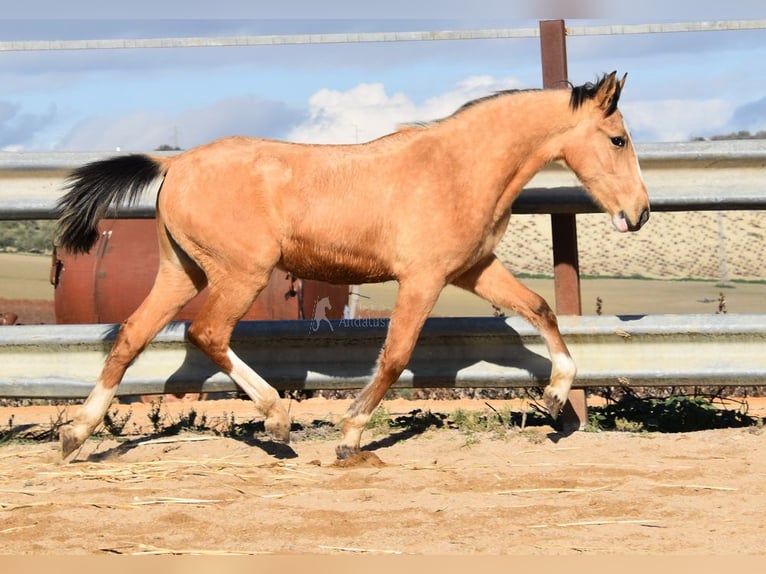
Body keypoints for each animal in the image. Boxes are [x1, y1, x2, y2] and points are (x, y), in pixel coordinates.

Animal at [57, 70, 652, 462]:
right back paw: (277, 420)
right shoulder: (423, 278)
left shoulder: (474, 268)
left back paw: (75, 436)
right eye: (618, 139)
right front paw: (349, 435)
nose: (640, 213)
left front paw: (554, 396)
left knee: (132, 335)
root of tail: (175, 164)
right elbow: (395, 356)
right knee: (207, 332)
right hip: (240, 274)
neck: (458, 168)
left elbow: (540, 308)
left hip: (182, 271)